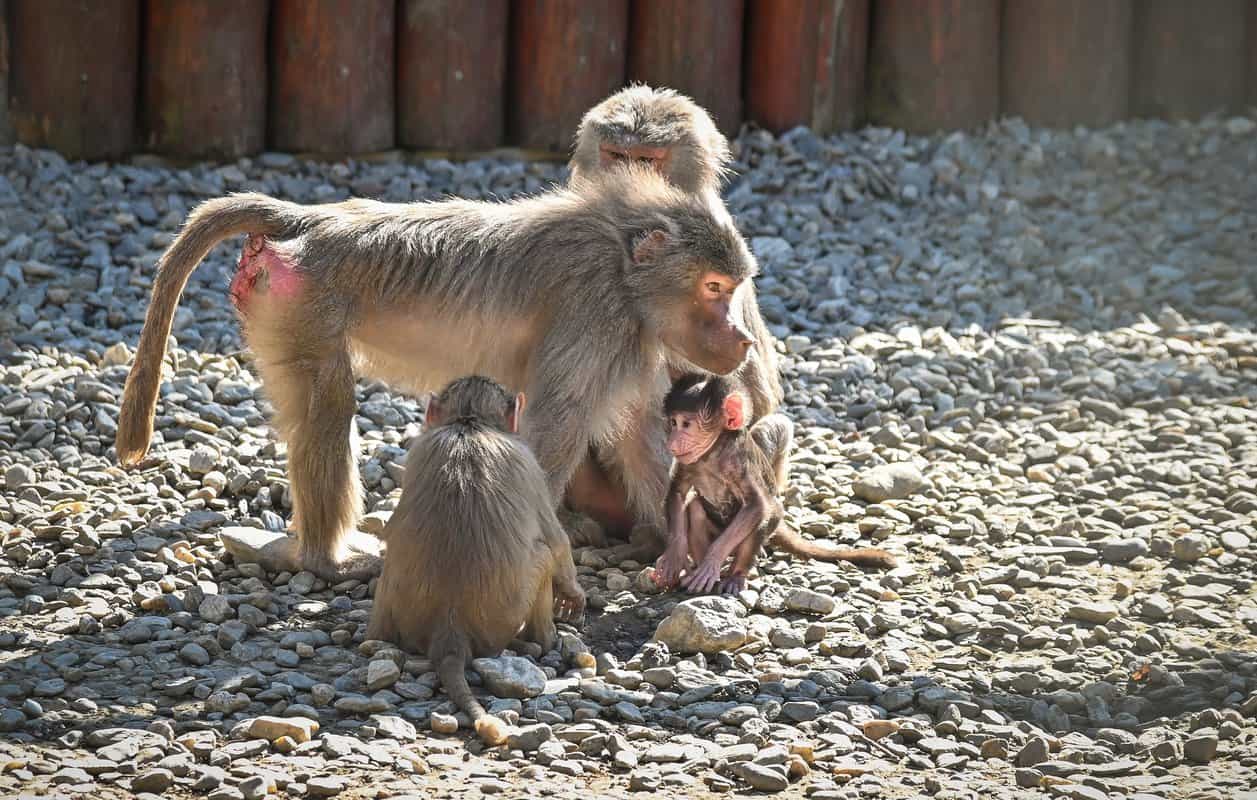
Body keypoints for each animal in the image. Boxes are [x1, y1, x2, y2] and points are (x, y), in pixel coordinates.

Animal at [115, 167, 754, 581]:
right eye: (713, 288)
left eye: (732, 288)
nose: (743, 338)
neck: (623, 266)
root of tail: (313, 220)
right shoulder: (597, 312)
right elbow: (557, 426)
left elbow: (638, 435)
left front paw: (669, 543)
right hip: (303, 302)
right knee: (329, 404)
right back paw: (326, 559)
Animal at [362, 374, 580, 744]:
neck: (469, 423)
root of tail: (450, 629)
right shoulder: (527, 460)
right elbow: (556, 542)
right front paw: (573, 595)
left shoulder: (419, 449)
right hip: (503, 619)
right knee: (543, 555)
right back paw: (544, 641)